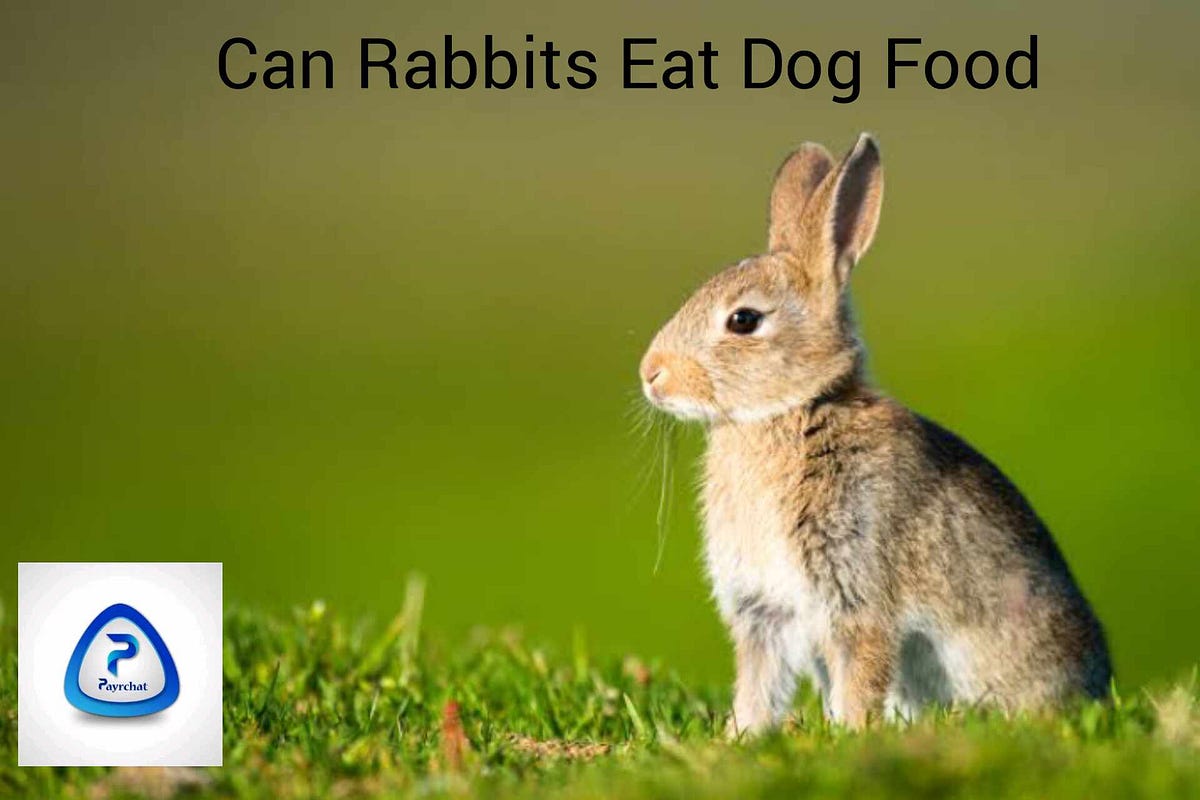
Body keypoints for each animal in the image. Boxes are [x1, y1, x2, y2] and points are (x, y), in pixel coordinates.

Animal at [638, 133, 1111, 733]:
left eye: (743, 320)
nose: (651, 374)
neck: (792, 411)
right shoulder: (764, 611)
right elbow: (758, 686)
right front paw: (743, 737)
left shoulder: (856, 592)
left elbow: (860, 673)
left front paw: (851, 733)